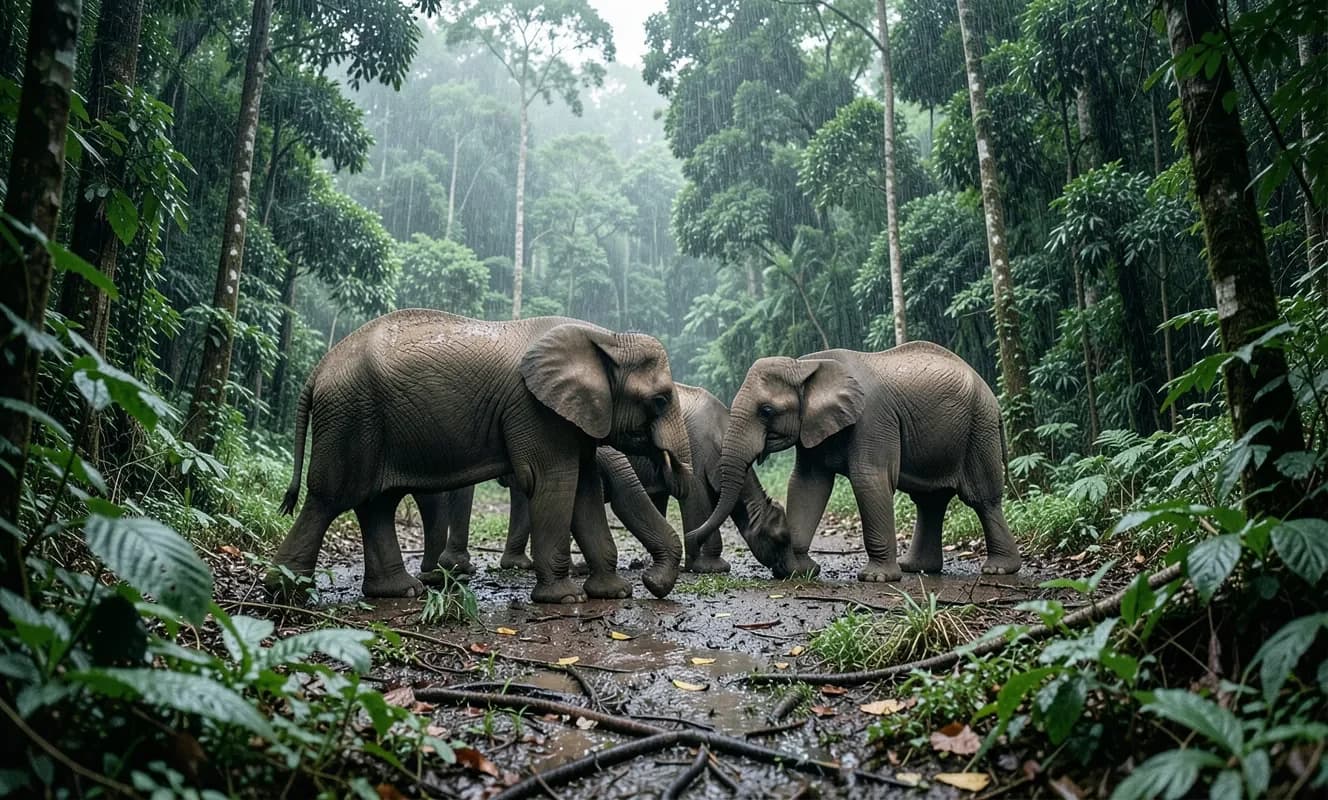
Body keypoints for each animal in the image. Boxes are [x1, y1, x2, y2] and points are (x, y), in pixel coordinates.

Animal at [272, 309, 694, 604]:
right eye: (659, 400)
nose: (652, 583)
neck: (605, 337)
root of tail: (320, 368)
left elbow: (583, 488)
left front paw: (615, 593)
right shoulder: (534, 412)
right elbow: (554, 482)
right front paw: (566, 599)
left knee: (377, 503)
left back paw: (399, 591)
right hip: (351, 417)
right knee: (329, 499)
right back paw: (286, 593)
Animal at [422, 383, 793, 579]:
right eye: (780, 538)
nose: (790, 572)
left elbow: (660, 497)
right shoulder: (699, 452)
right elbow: (697, 501)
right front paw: (710, 568)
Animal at [685, 341, 1021, 582]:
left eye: (766, 411)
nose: (689, 536)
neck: (806, 365)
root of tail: (993, 399)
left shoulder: (873, 419)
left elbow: (868, 479)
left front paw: (876, 579)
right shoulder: (814, 428)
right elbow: (807, 484)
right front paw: (799, 572)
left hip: (979, 429)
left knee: (982, 498)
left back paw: (998, 570)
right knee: (930, 501)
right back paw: (916, 568)